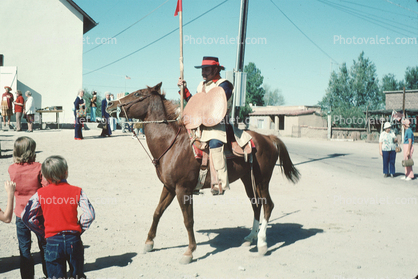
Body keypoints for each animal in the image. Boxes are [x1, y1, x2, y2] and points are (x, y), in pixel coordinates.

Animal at [106, 82, 298, 264]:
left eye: (137, 94)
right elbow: (157, 212)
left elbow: (188, 220)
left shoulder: (183, 190)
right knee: (256, 205)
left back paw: (262, 243)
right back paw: (250, 237)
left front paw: (189, 252)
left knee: (268, 205)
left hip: (262, 180)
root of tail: (268, 138)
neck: (172, 144)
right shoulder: (169, 187)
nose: (110, 104)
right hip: (248, 181)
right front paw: (149, 243)